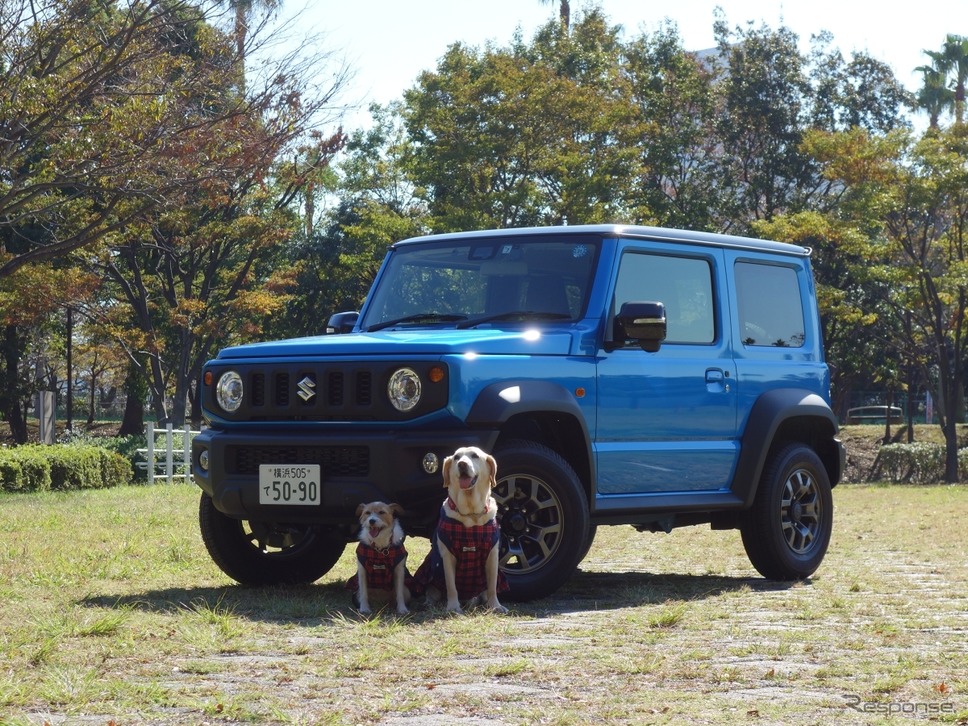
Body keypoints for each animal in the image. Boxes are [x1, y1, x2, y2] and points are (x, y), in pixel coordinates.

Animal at [412, 444, 510, 616]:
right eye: (456, 457)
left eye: (475, 455)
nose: (462, 464)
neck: (471, 514)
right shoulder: (448, 556)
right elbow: (452, 586)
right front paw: (453, 607)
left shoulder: (492, 555)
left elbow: (492, 586)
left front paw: (495, 606)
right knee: (431, 594)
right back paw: (430, 604)